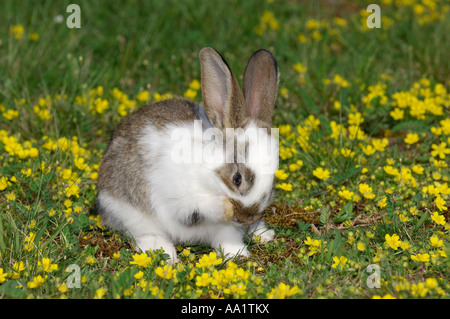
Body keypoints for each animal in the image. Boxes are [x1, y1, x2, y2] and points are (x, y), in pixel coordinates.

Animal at [97, 47, 280, 262]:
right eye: (237, 179)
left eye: (273, 182)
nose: (246, 218)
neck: (208, 174)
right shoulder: (181, 201)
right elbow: (200, 209)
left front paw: (238, 254)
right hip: (130, 212)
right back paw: (163, 251)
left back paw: (263, 233)